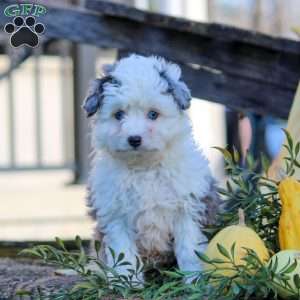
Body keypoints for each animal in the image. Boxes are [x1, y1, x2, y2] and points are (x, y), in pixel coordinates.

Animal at [83, 54, 219, 282]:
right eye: (119, 115)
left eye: (153, 114)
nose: (134, 139)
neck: (144, 167)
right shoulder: (115, 214)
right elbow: (123, 253)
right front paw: (126, 283)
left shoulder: (188, 207)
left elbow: (189, 248)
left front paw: (194, 280)